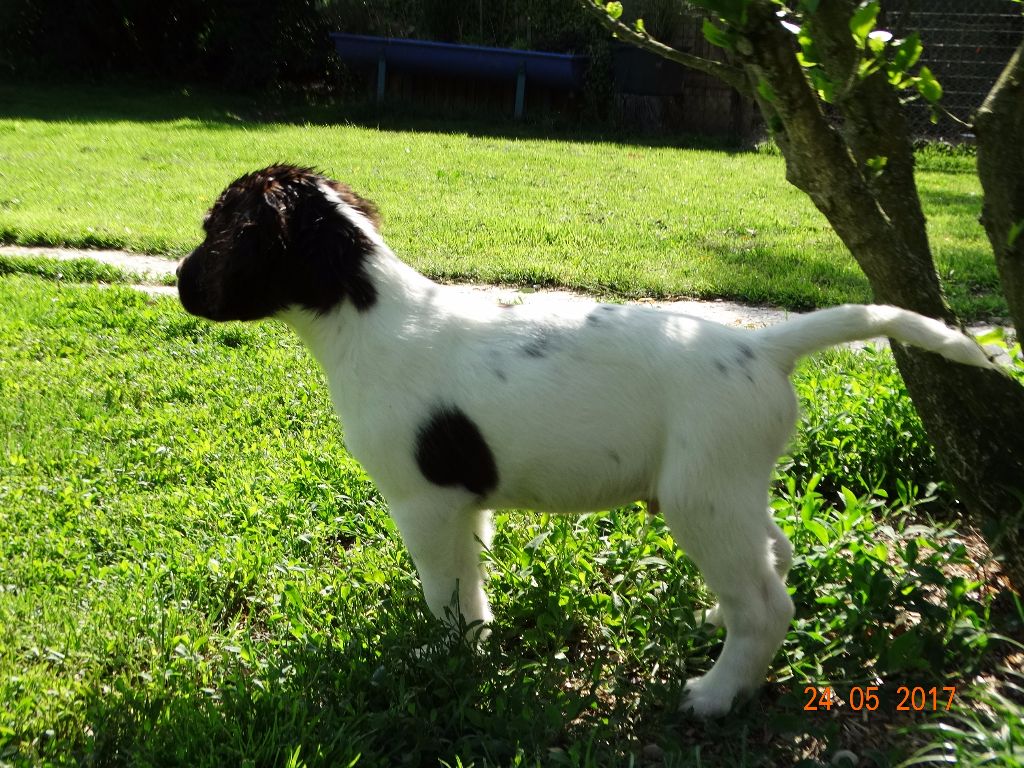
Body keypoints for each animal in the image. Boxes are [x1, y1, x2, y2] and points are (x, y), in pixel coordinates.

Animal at [177, 164, 995, 717]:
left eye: (218, 232)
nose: (183, 281)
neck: (366, 313)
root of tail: (762, 346)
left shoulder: (423, 502)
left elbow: (442, 589)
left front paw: (441, 655)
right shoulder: (466, 501)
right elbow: (472, 584)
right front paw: (476, 643)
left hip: (700, 500)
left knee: (767, 606)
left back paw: (715, 694)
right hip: (728, 487)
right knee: (774, 559)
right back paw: (715, 620)